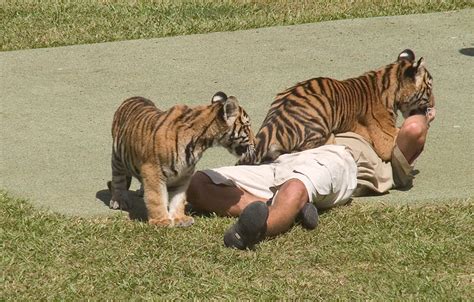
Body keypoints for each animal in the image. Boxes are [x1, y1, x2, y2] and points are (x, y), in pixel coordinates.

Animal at [108, 91, 256, 226]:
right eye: (247, 127)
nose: (255, 143)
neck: (201, 143)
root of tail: (133, 97)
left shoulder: (184, 174)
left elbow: (178, 198)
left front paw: (180, 219)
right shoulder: (153, 170)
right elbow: (156, 197)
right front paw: (161, 221)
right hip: (118, 158)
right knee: (119, 180)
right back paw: (118, 200)